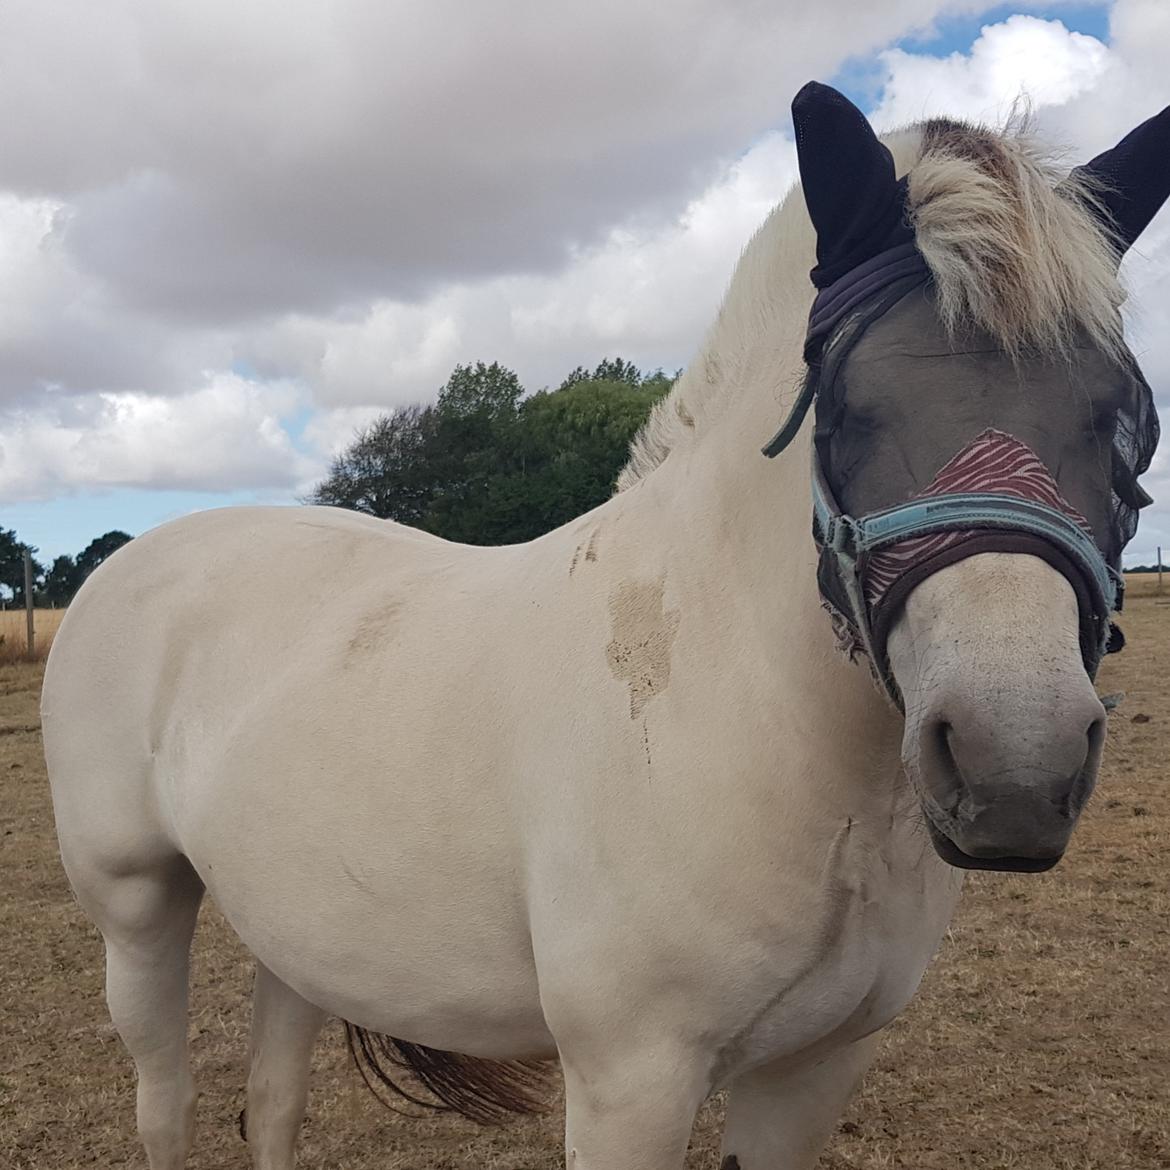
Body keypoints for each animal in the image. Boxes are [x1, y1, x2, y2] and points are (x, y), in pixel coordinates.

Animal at [41, 84, 1165, 1170]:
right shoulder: (632, 1080)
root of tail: (127, 565)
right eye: (848, 411)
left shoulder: (810, 1073)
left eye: (1129, 417)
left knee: (272, 1105)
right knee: (166, 1105)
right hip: (137, 912)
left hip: (300, 933)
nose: (1014, 764)